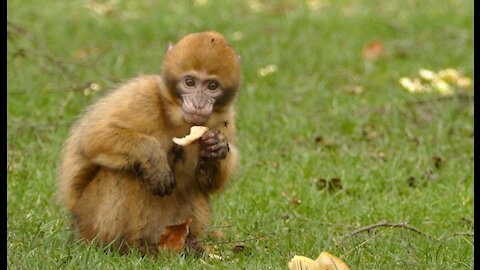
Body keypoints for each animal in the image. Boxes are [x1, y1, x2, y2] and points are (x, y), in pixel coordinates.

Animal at [58, 31, 240, 255]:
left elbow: (208, 184)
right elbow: (93, 137)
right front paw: (152, 156)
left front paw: (216, 147)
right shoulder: (143, 96)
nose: (199, 103)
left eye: (212, 86)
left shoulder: (226, 117)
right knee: (121, 174)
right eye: (190, 82)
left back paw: (186, 245)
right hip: (89, 220)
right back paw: (125, 248)